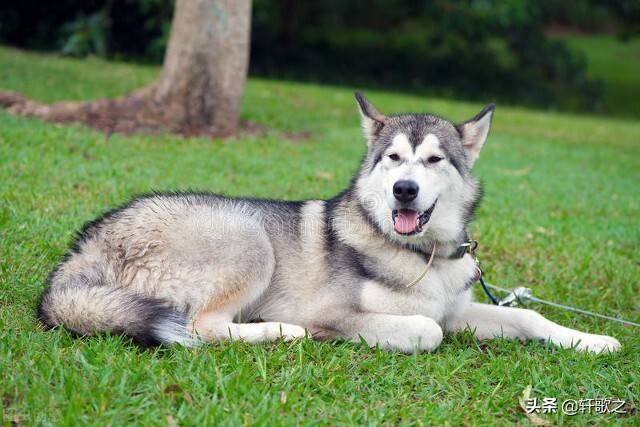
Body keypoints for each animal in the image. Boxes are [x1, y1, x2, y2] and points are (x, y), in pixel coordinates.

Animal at [36, 92, 620, 352]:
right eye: (393, 158)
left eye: (434, 160)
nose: (404, 190)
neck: (419, 254)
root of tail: (86, 244)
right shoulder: (342, 312)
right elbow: (426, 330)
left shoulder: (458, 309)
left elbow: (528, 317)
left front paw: (591, 340)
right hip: (248, 237)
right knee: (201, 328)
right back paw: (279, 331)